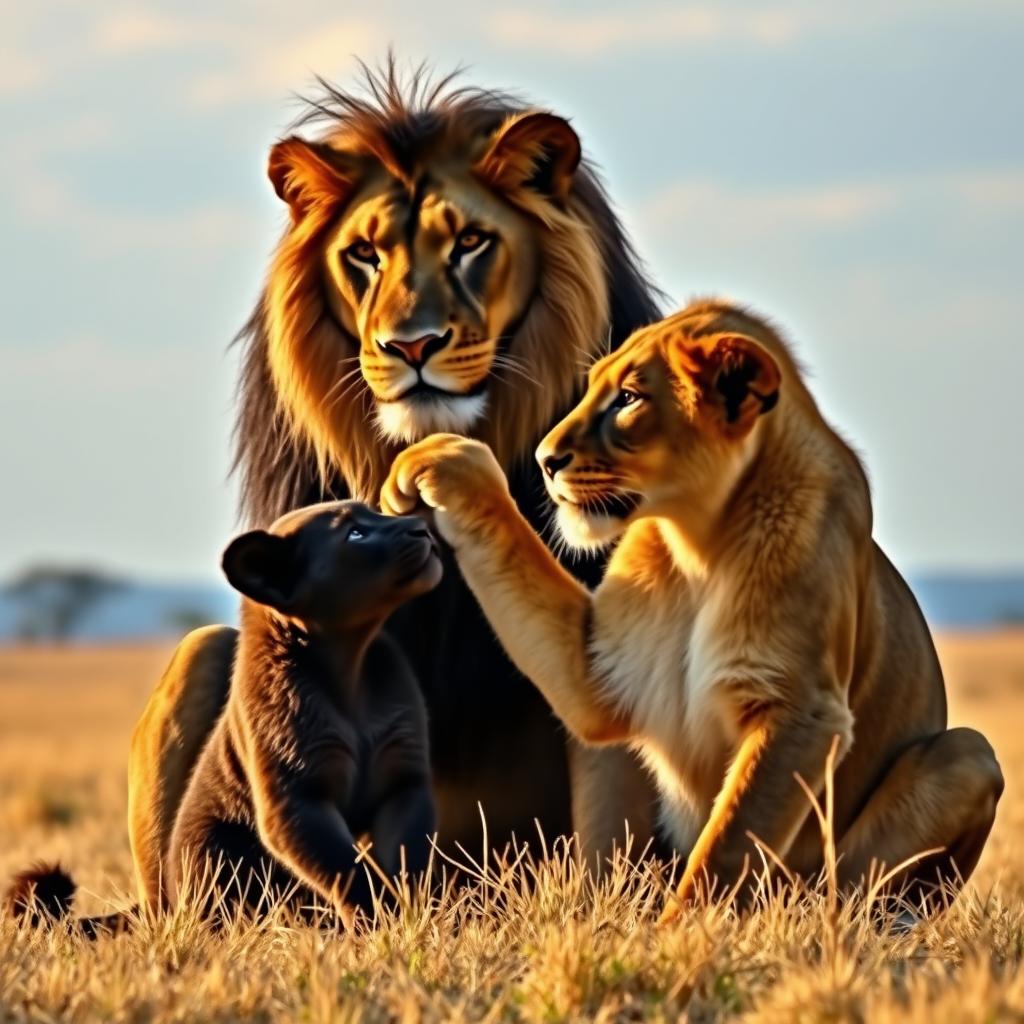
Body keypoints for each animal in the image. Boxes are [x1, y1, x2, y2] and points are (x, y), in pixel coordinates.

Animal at [381, 297, 1004, 918]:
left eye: (628, 399)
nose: (544, 459)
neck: (699, 544)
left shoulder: (802, 712)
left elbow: (726, 845)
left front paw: (679, 932)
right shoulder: (600, 675)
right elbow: (514, 551)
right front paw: (436, 461)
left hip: (968, 758)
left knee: (849, 884)